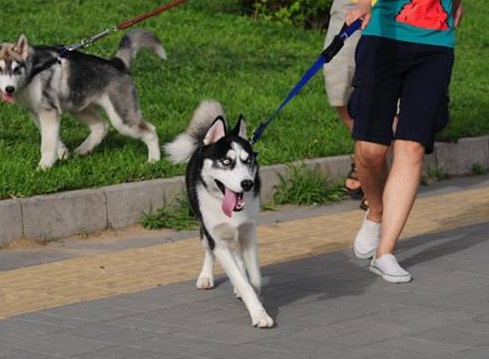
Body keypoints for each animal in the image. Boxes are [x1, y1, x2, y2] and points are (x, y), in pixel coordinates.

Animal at [0, 30, 164, 169]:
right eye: (0, 70)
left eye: (16, 69)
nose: (9, 89)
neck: (33, 71)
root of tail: (117, 63)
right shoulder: (36, 112)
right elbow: (52, 137)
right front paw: (62, 153)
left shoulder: (48, 111)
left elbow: (47, 143)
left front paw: (44, 166)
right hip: (78, 107)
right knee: (102, 126)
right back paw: (83, 150)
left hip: (122, 119)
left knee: (151, 131)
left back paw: (154, 160)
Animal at [165, 101, 274, 330]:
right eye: (225, 161)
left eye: (248, 160)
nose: (247, 183)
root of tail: (202, 145)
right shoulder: (217, 239)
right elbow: (241, 280)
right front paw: (258, 313)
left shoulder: (249, 233)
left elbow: (254, 280)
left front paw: (257, 303)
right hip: (203, 228)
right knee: (209, 250)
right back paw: (206, 276)